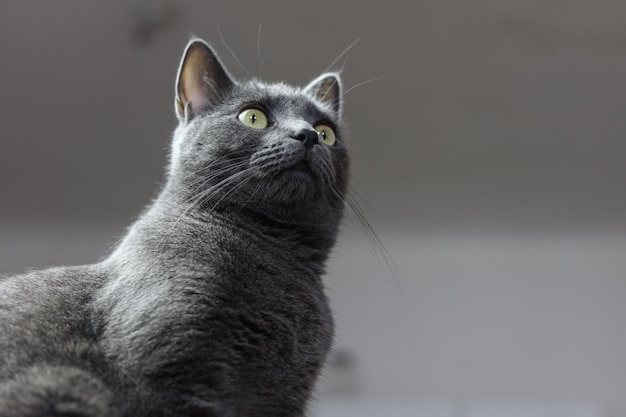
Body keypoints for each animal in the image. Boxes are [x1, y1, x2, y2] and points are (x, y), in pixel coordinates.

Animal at [0, 37, 346, 414]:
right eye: (253, 117)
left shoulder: (285, 399)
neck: (278, 254)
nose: (307, 135)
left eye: (327, 132)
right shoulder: (167, 368)